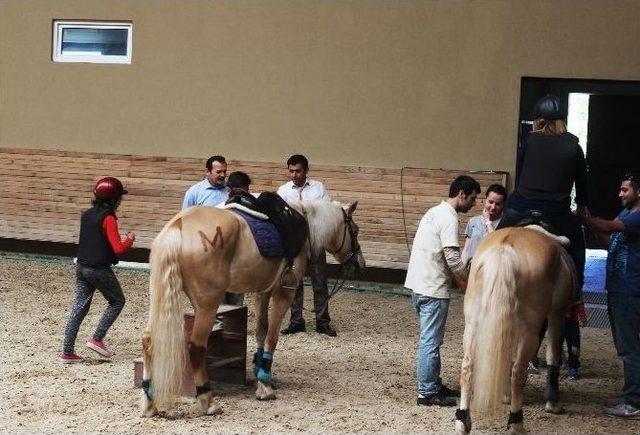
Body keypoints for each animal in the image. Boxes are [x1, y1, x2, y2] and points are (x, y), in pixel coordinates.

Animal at [139, 199, 362, 418]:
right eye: (355, 230)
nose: (359, 263)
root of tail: (179, 225)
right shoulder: (284, 293)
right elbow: (272, 336)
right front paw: (264, 384)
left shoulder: (262, 292)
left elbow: (261, 330)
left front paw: (261, 369)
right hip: (207, 305)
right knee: (196, 347)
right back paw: (207, 400)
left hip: (160, 295)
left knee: (149, 340)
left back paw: (149, 402)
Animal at [456, 227, 576, 434]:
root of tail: (505, 249)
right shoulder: (557, 314)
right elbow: (553, 355)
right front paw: (552, 403)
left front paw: (505, 395)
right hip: (530, 329)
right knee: (518, 372)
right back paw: (516, 422)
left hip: (473, 324)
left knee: (467, 368)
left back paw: (463, 421)